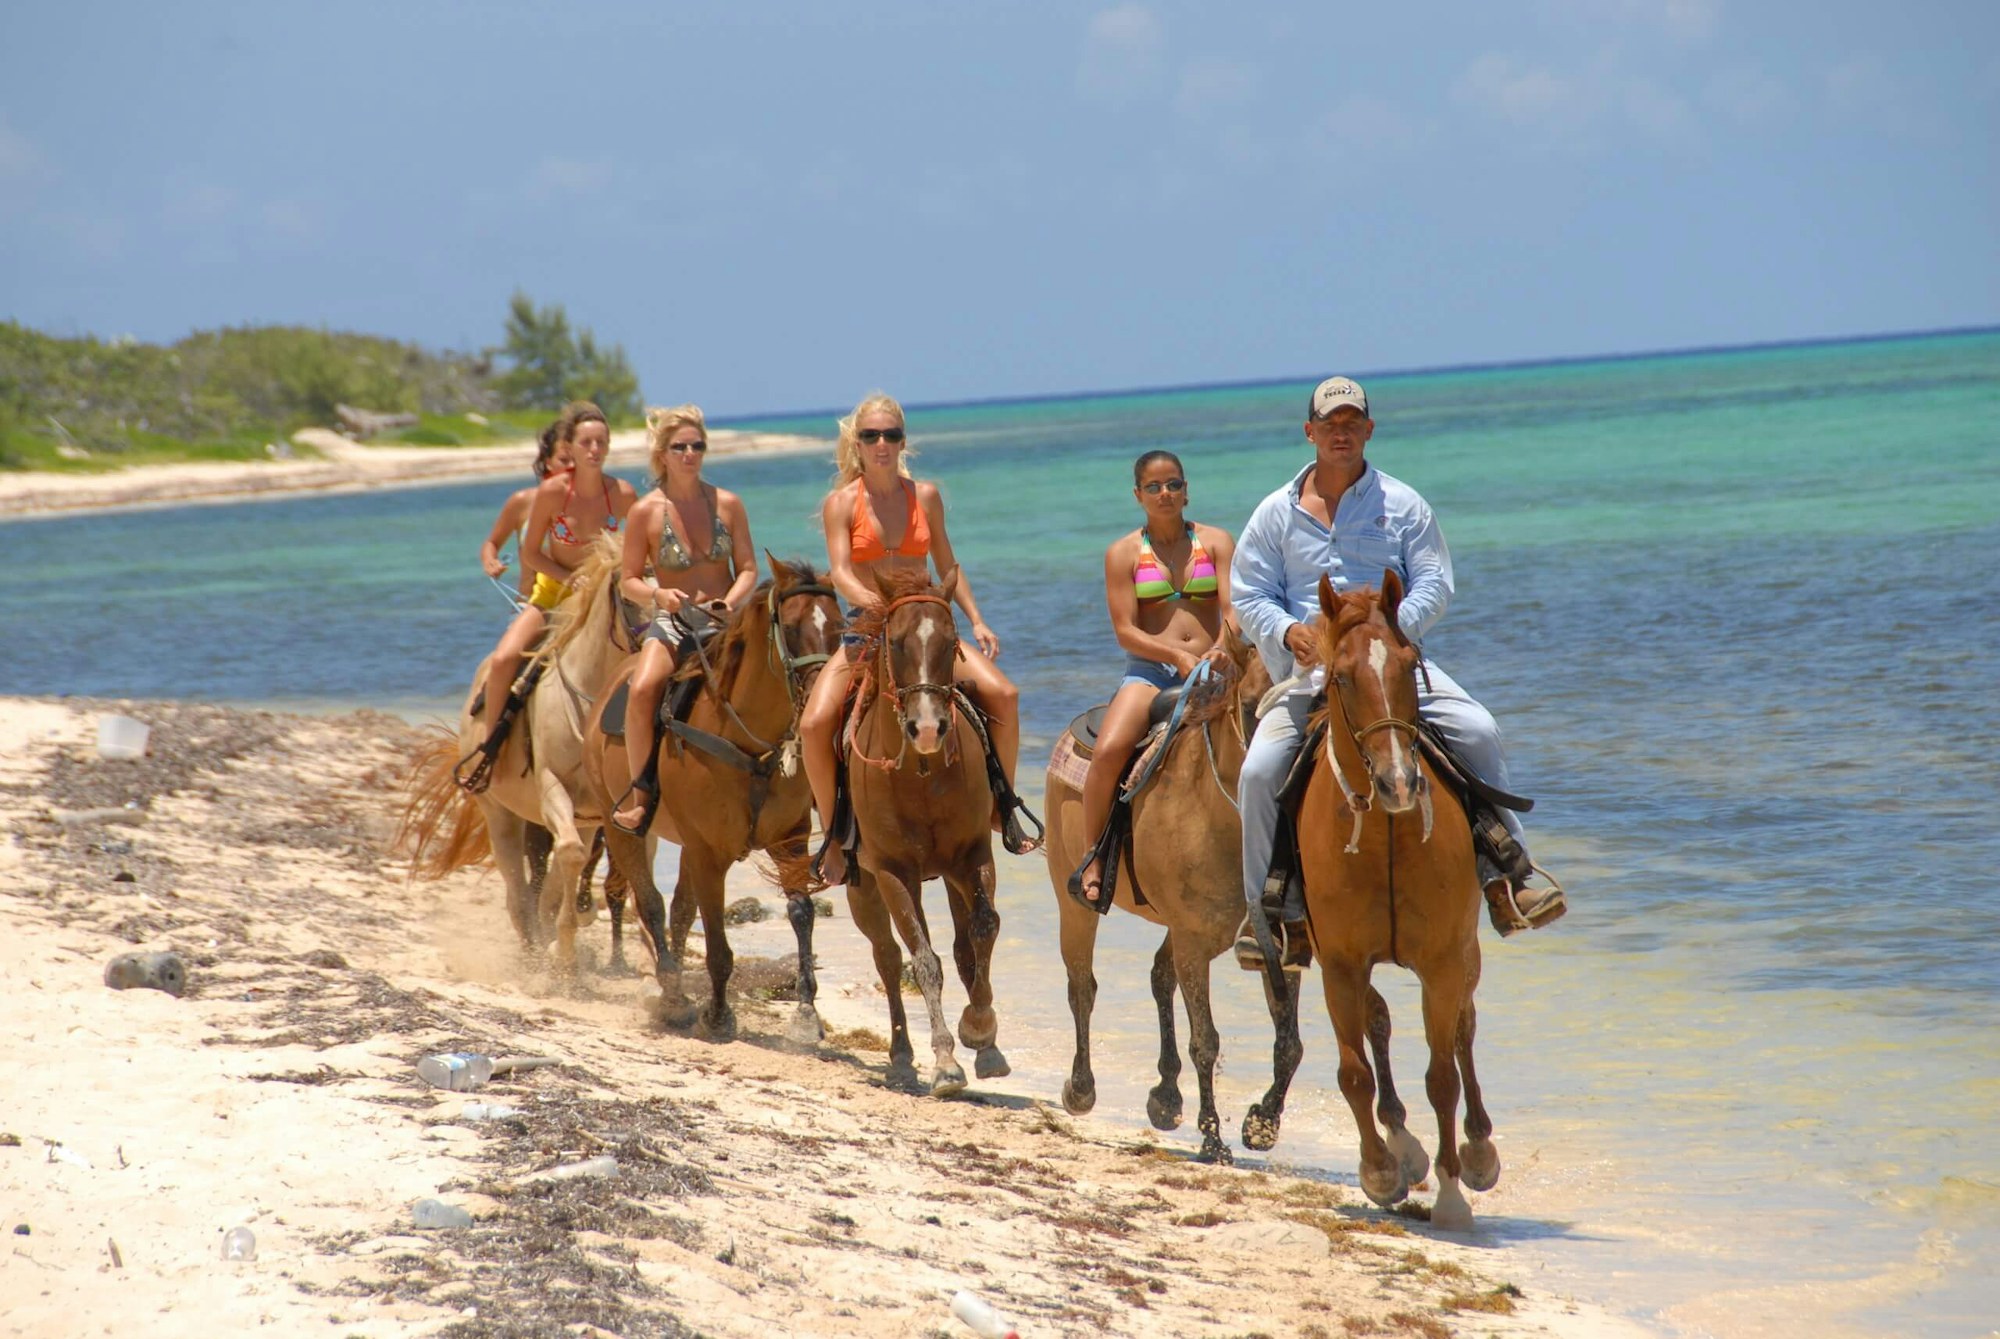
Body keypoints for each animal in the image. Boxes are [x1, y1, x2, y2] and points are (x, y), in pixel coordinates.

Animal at [400, 531, 632, 975]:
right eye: (631, 596)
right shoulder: (553, 790)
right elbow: (567, 861)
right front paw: (561, 954)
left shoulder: (594, 813)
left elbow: (566, 872)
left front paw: (563, 950)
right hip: (499, 813)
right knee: (517, 893)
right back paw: (530, 954)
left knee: (546, 881)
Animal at [584, 559, 852, 1047]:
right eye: (790, 627)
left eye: (840, 627)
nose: (824, 698)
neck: (749, 747)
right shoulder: (710, 854)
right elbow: (717, 944)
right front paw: (718, 1015)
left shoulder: (789, 841)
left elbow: (801, 914)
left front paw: (806, 1013)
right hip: (621, 829)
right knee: (650, 904)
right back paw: (673, 997)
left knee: (677, 911)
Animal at [840, 567, 1008, 1103]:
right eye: (894, 642)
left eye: (952, 641)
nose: (930, 728)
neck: (921, 773)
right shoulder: (894, 874)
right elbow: (923, 962)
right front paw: (946, 1063)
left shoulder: (973, 856)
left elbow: (983, 928)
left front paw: (980, 1029)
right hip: (863, 887)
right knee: (889, 959)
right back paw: (900, 1058)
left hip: (951, 876)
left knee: (964, 945)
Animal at [1040, 631, 1272, 1167]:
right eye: (1251, 704)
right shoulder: (1193, 943)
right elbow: (1205, 1040)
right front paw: (1214, 1140)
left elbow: (1291, 1043)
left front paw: (1260, 1125)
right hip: (1075, 907)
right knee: (1081, 986)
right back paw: (1080, 1089)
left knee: (1158, 977)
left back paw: (1165, 1097)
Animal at [1256, 571, 1496, 1231]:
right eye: (1340, 676)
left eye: (1410, 665)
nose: (1397, 784)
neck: (1387, 835)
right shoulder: (1341, 964)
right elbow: (1354, 1072)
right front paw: (1382, 1172)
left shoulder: (1441, 964)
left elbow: (1442, 1075)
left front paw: (1450, 1193)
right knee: (1378, 1024)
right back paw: (1402, 1147)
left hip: (1465, 955)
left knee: (1464, 1031)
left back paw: (1478, 1150)